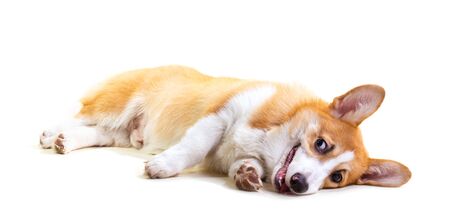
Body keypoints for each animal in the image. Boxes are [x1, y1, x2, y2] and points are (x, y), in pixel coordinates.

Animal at [39, 65, 412, 195]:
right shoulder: (219, 117)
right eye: (322, 145)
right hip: (116, 105)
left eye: (337, 177)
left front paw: (247, 175)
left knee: (98, 133)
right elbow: (193, 146)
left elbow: (245, 164)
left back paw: (65, 142)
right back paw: (51, 132)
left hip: (121, 133)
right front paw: (162, 167)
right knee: (80, 115)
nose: (300, 185)